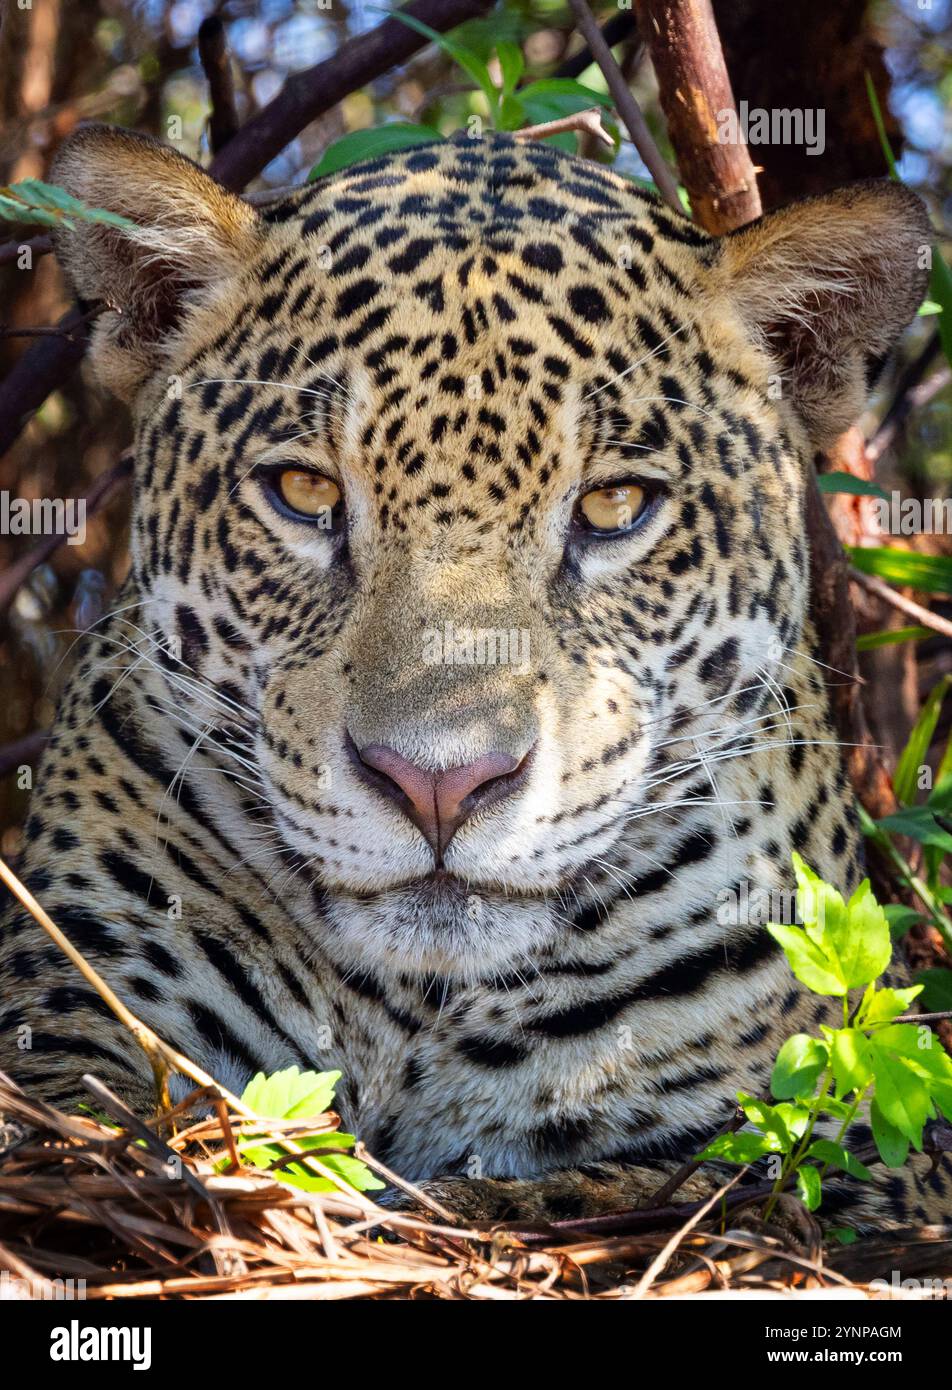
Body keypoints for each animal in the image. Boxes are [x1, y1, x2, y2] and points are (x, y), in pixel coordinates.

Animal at [1, 122, 947, 1229]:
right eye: (303, 492)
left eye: (615, 506)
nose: (438, 785)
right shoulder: (71, 1022)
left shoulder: (865, 1158)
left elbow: (651, 1188)